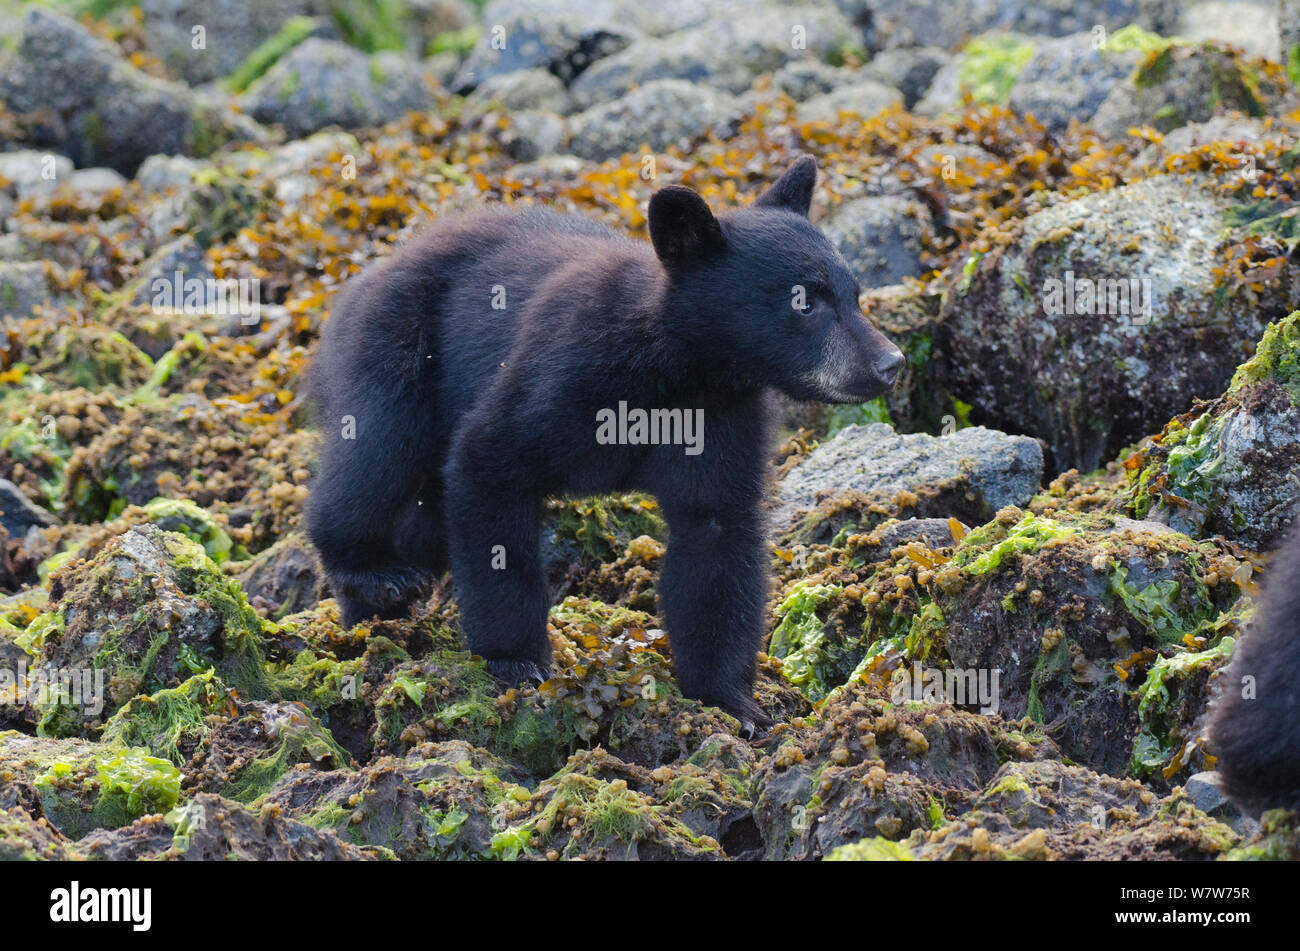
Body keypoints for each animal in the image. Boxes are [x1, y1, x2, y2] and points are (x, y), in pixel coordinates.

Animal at [306, 156, 904, 731]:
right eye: (804, 302)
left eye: (854, 294)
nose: (889, 363)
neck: (678, 367)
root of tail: (374, 269)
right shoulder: (566, 376)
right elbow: (488, 466)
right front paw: (516, 659)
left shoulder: (720, 417)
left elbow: (715, 533)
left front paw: (732, 701)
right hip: (399, 347)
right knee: (378, 452)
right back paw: (374, 573)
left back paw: (374, 616)